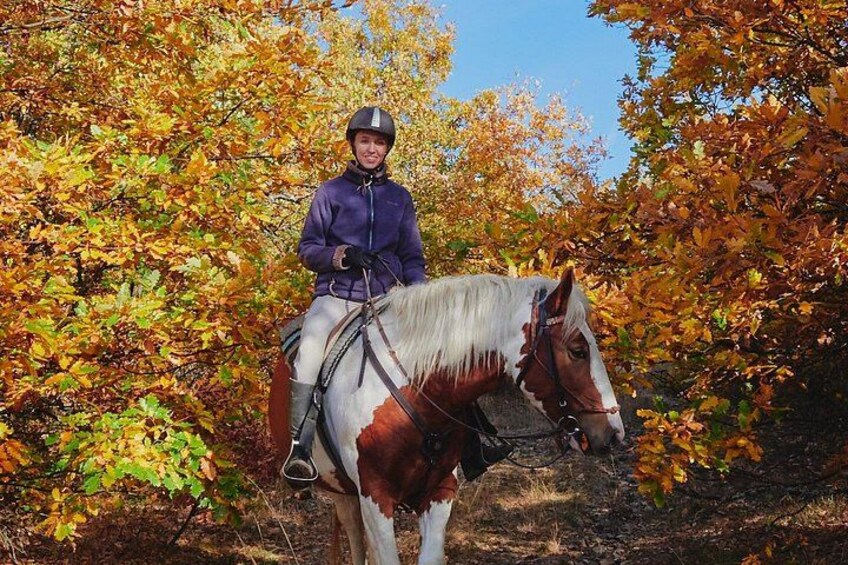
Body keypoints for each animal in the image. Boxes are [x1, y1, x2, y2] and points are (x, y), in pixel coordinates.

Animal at [269, 268, 624, 564]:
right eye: (578, 350)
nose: (613, 432)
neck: (414, 386)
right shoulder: (375, 496)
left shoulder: (439, 493)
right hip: (339, 492)